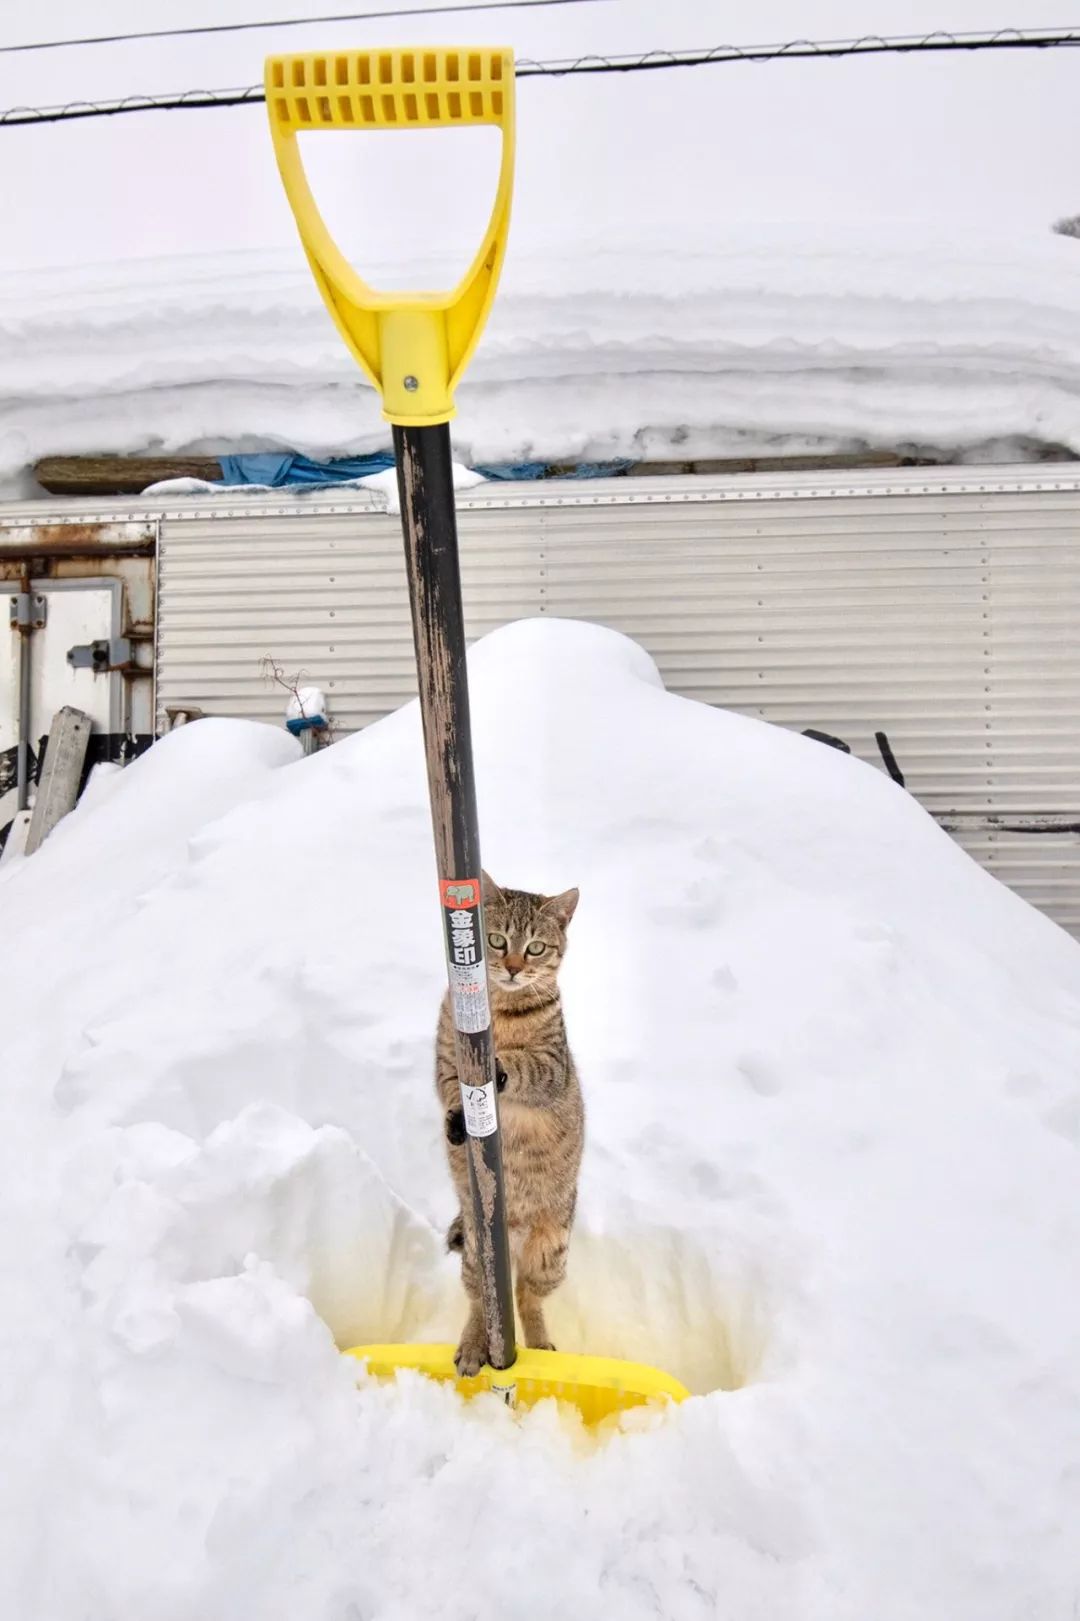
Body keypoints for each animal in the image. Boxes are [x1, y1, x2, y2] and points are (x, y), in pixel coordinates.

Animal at [434, 868, 580, 1374]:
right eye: (496, 941)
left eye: (535, 947)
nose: (514, 967)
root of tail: (511, 1235)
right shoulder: (445, 1063)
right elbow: (449, 1089)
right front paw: (457, 1120)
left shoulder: (552, 1066)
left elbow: (526, 1065)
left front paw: (501, 1067)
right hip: (478, 1251)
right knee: (483, 1299)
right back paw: (473, 1345)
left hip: (551, 1255)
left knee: (524, 1296)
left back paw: (539, 1345)